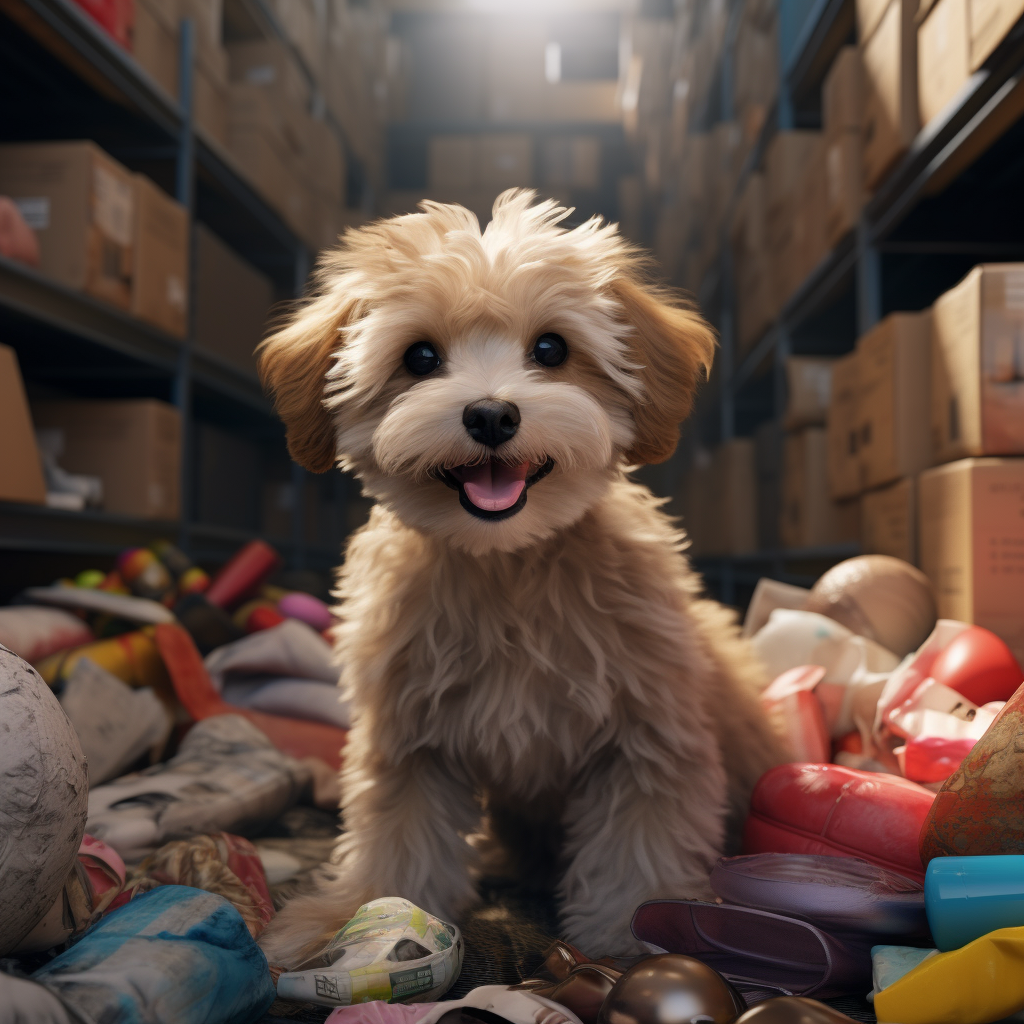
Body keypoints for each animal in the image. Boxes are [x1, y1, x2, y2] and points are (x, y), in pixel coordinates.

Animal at [256, 190, 782, 966]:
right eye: (419, 357)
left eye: (551, 350)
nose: (491, 414)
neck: (508, 565)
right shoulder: (410, 741)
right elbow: (399, 836)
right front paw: (357, 915)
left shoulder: (648, 735)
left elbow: (640, 840)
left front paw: (635, 930)